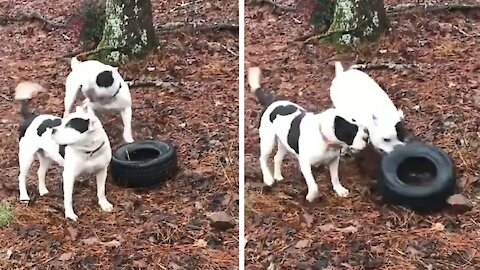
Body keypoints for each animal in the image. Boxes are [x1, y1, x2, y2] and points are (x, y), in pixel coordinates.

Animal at [14, 81, 113, 221]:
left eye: (70, 125)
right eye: (62, 122)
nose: (53, 130)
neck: (89, 151)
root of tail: (30, 118)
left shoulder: (101, 171)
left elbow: (101, 190)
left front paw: (104, 204)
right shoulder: (69, 176)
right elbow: (68, 198)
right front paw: (70, 214)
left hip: (47, 157)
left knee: (40, 172)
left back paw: (43, 191)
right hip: (27, 156)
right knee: (21, 176)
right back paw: (24, 196)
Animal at [249, 67, 370, 202]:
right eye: (352, 130)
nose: (367, 137)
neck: (325, 139)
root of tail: (271, 103)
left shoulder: (334, 160)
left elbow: (335, 178)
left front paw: (339, 190)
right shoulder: (305, 163)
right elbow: (313, 184)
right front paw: (311, 197)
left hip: (284, 142)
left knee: (277, 158)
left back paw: (278, 176)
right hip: (268, 141)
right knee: (263, 158)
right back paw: (268, 178)